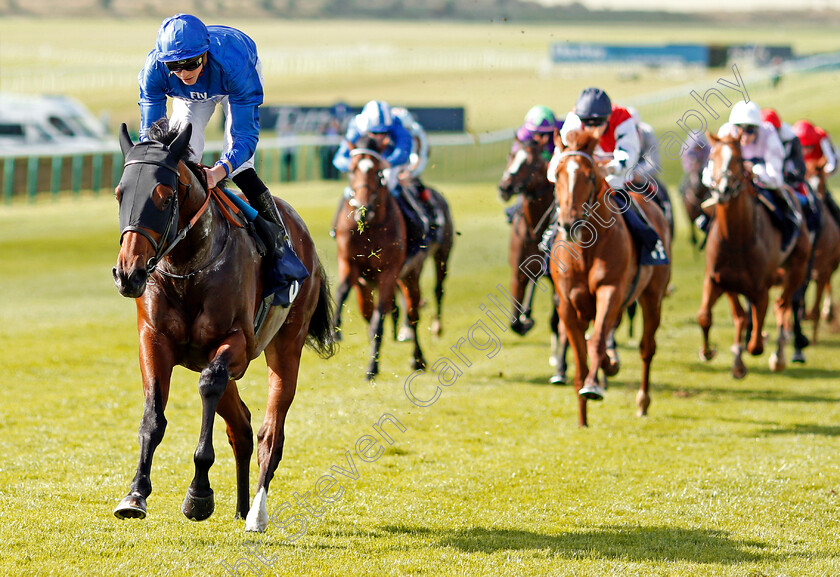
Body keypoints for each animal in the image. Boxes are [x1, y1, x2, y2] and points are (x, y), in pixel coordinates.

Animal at [111, 121, 334, 532]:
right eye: (120, 193)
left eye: (164, 197)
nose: (128, 273)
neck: (188, 267)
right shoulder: (153, 340)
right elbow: (153, 417)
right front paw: (135, 494)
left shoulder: (237, 345)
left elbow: (209, 386)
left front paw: (198, 493)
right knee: (242, 426)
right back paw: (241, 506)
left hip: (286, 346)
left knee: (269, 433)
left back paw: (256, 512)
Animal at [332, 135, 426, 378]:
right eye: (352, 170)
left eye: (378, 172)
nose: (362, 209)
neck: (370, 227)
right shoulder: (348, 263)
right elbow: (342, 290)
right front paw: (335, 330)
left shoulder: (389, 272)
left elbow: (378, 320)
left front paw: (372, 367)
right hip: (366, 287)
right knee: (369, 311)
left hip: (410, 276)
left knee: (412, 316)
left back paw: (418, 359)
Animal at [548, 130, 672, 428]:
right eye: (557, 174)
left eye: (591, 176)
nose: (569, 223)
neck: (584, 251)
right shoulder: (567, 304)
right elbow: (581, 355)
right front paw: (582, 416)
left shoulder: (610, 290)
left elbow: (596, 342)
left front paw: (593, 385)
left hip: (652, 296)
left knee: (646, 347)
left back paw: (642, 400)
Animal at [700, 133, 812, 380]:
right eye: (712, 158)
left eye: (739, 159)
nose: (722, 190)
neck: (735, 240)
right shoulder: (719, 280)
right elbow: (709, 316)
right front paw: (711, 353)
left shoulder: (760, 290)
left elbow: (756, 344)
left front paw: (756, 345)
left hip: (797, 268)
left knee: (782, 304)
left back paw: (779, 356)